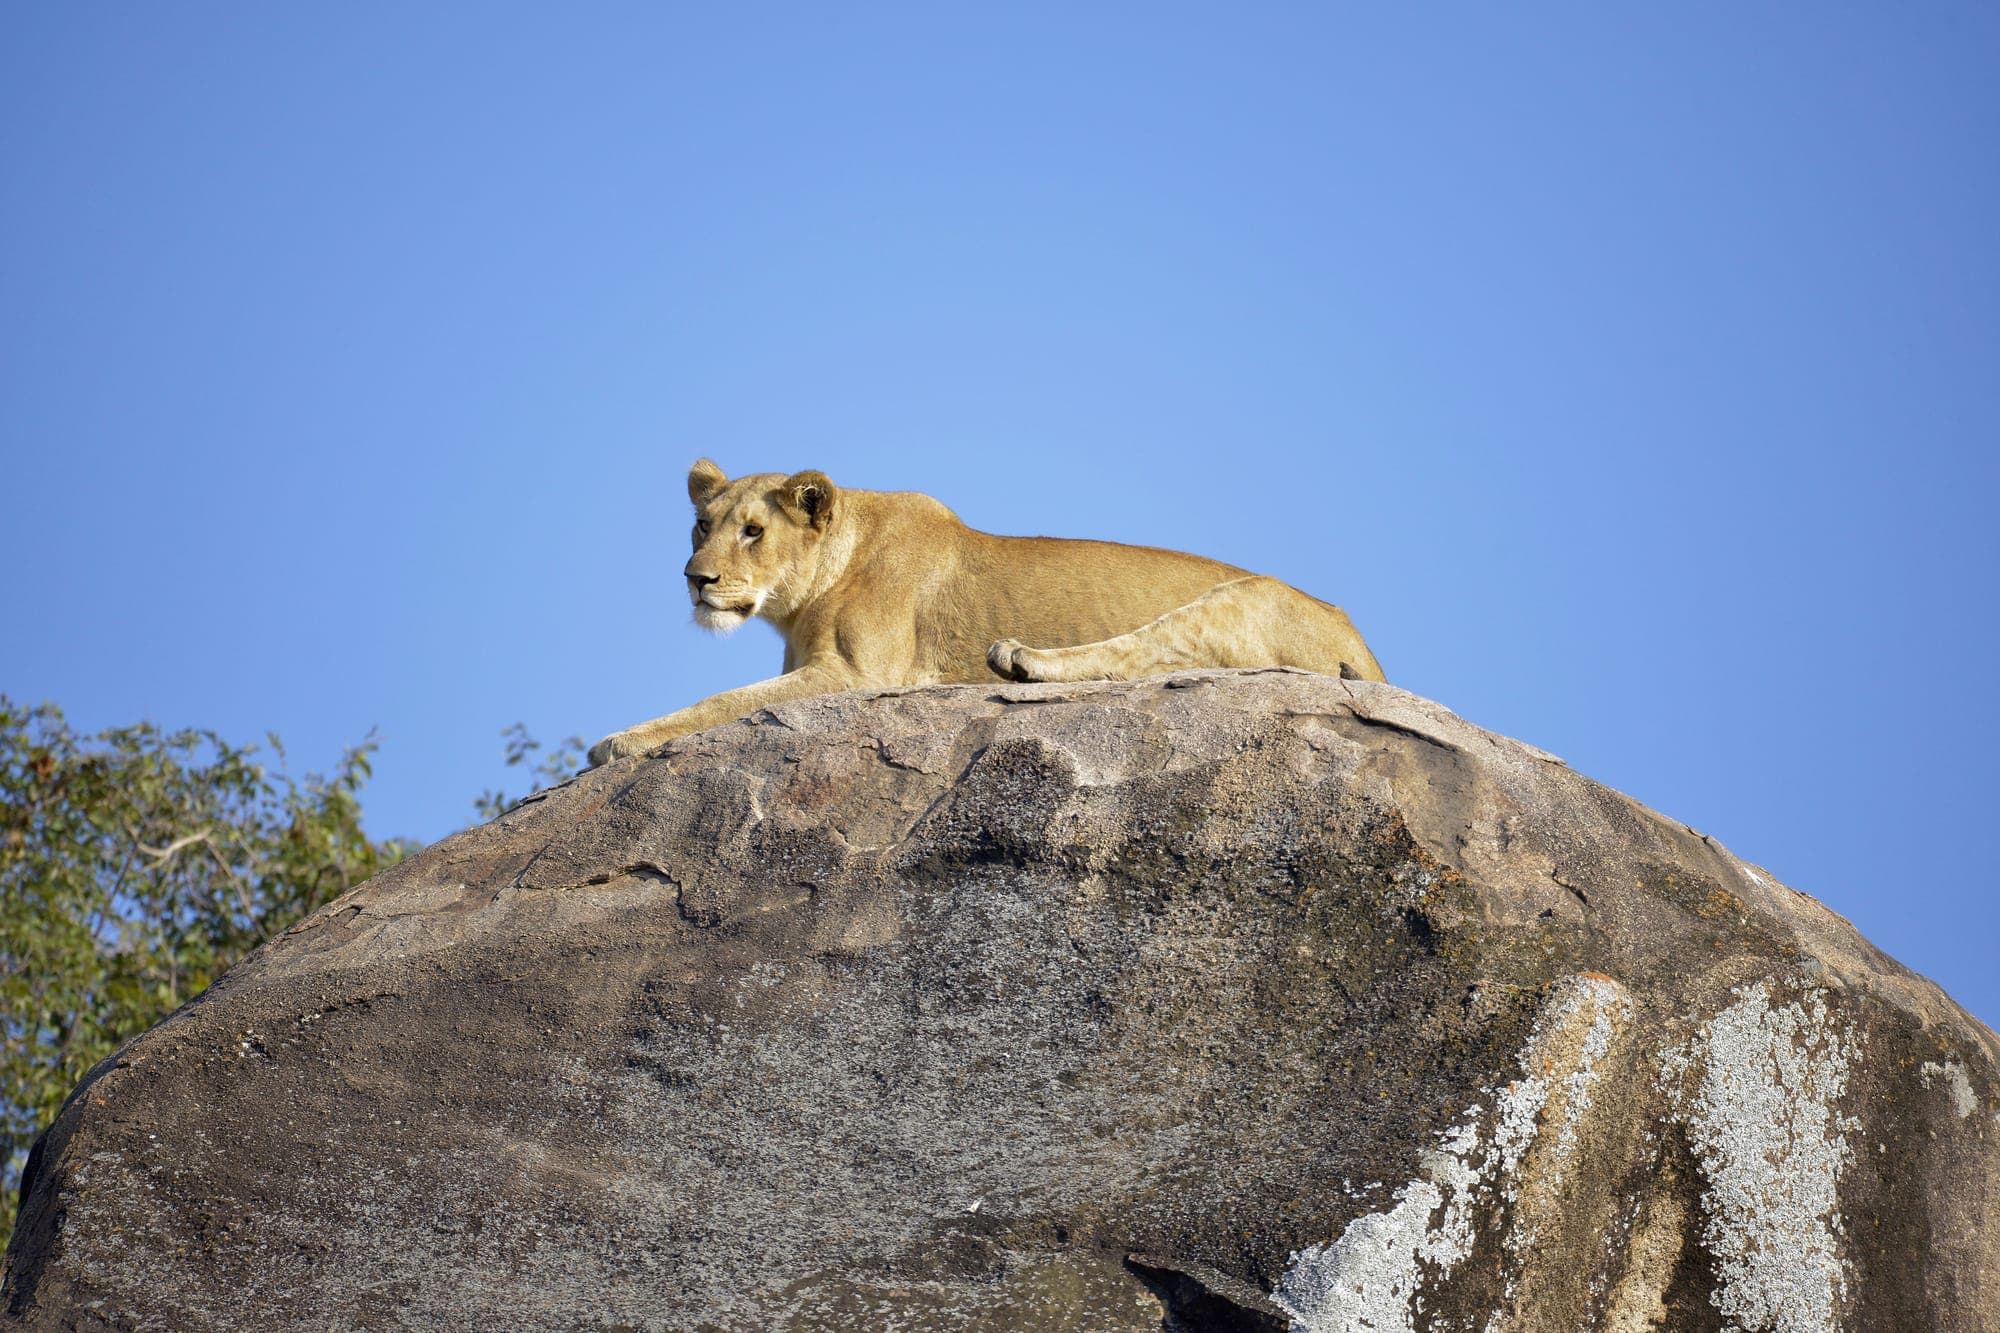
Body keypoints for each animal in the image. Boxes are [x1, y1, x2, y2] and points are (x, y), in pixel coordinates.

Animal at [587, 460, 1385, 765]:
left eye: (754, 530)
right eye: (701, 525)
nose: (696, 579)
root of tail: (1367, 649)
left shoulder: (858, 676)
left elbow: (724, 700)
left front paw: (618, 742)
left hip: (1242, 599)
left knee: (1139, 652)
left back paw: (1018, 658)